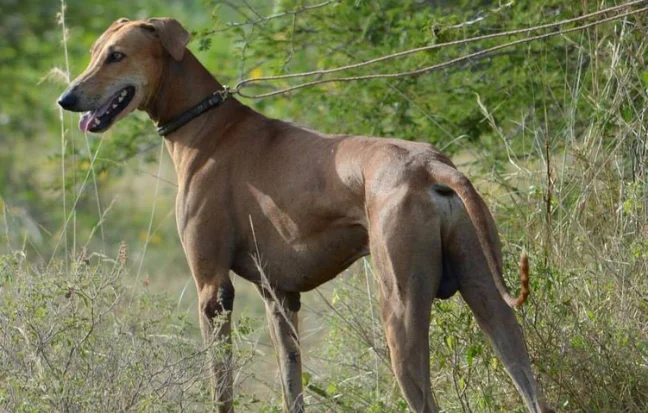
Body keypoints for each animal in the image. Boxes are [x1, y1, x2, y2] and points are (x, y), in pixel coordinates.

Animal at [58, 16, 552, 412]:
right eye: (94, 52)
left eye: (117, 55)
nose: (66, 99)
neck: (207, 125)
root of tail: (432, 165)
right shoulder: (281, 297)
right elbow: (290, 385)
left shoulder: (213, 293)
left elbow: (222, 390)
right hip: (490, 302)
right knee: (529, 384)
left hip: (400, 313)